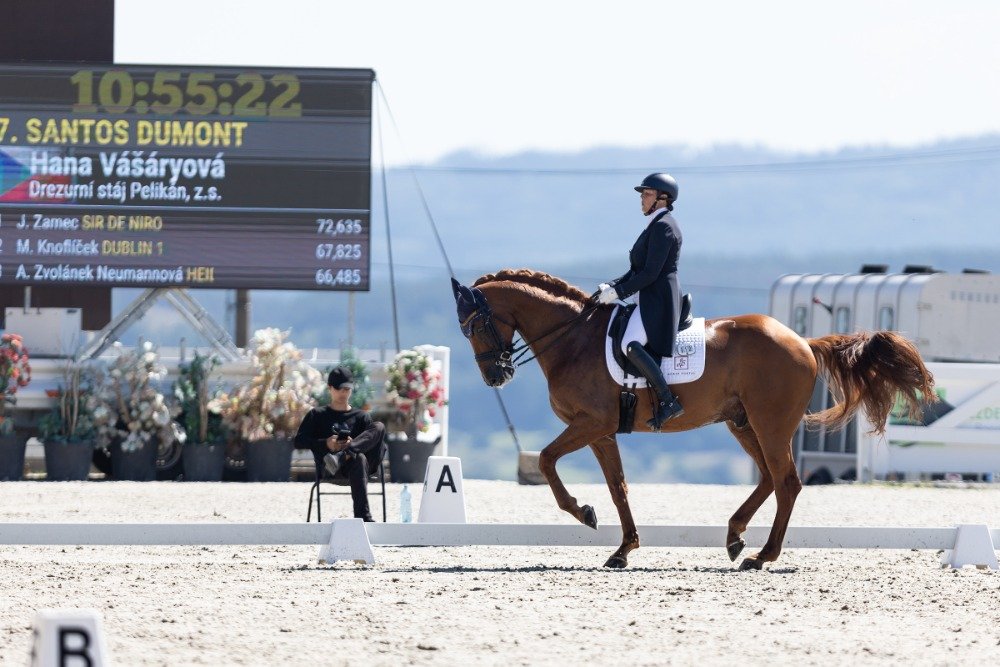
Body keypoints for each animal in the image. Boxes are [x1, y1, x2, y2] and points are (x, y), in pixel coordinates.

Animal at [454, 268, 936, 572]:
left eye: (473, 325)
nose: (496, 376)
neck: (574, 338)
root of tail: (802, 340)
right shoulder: (602, 432)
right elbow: (618, 488)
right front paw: (623, 549)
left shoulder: (590, 424)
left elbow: (548, 461)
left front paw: (584, 513)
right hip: (742, 423)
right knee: (769, 478)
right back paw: (735, 537)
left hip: (770, 423)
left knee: (786, 482)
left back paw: (761, 556)